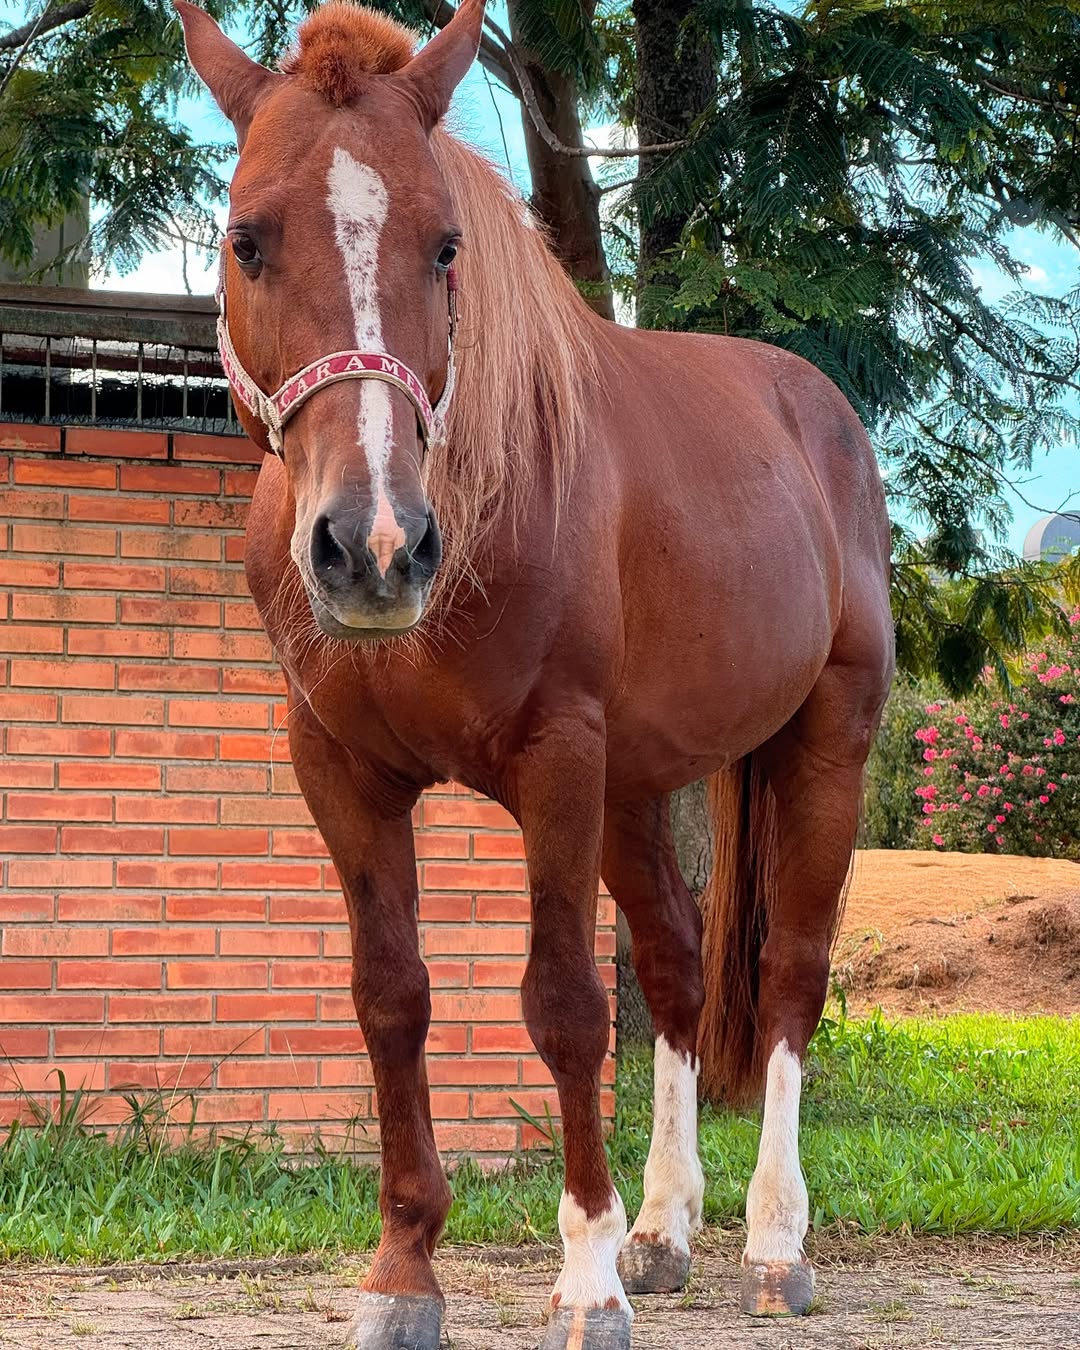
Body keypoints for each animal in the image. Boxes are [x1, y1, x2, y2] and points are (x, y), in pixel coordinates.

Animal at [177, 2, 895, 1346]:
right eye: (247, 239)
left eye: (446, 245)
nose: (375, 548)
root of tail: (817, 409)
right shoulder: (339, 770)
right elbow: (391, 998)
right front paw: (405, 1273)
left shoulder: (559, 759)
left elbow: (563, 1005)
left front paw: (587, 1277)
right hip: (637, 790)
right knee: (674, 965)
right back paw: (666, 1229)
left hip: (824, 744)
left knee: (787, 975)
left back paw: (774, 1243)